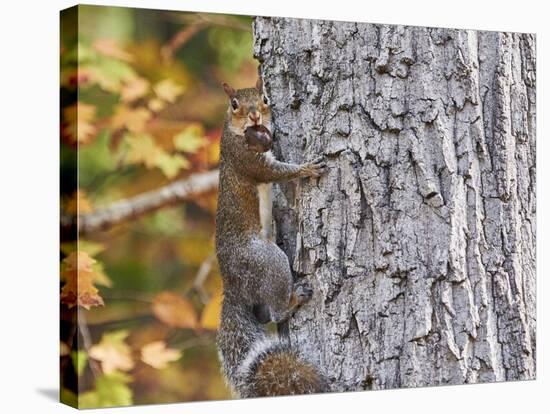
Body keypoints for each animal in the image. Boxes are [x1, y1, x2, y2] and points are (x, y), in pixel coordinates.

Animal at [215, 78, 328, 398]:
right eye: (234, 105)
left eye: (264, 98)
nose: (255, 116)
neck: (236, 133)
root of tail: (233, 286)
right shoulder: (248, 161)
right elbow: (276, 171)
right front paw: (307, 168)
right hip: (266, 261)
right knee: (276, 314)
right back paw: (294, 299)